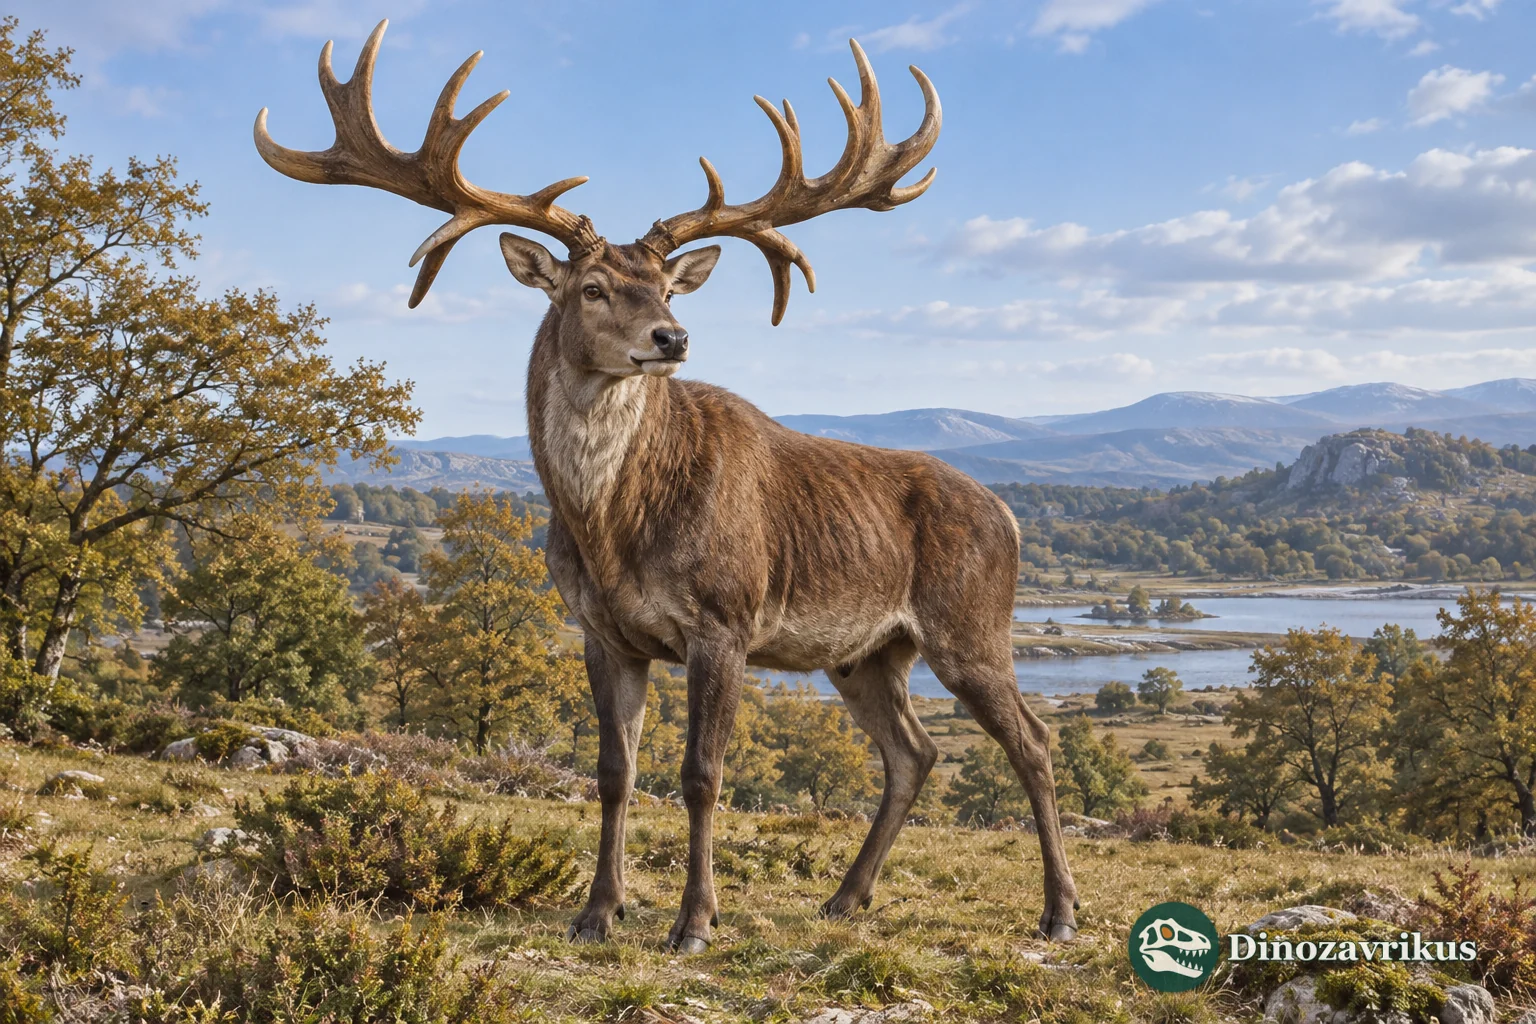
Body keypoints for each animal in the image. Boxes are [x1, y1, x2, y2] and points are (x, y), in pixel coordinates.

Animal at [256, 20, 1080, 952]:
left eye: (666, 286)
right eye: (592, 286)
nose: (672, 337)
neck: (613, 532)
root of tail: (1009, 514)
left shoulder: (726, 619)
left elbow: (700, 774)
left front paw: (693, 922)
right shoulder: (603, 630)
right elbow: (614, 770)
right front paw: (596, 911)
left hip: (968, 623)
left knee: (1034, 744)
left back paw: (1057, 912)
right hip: (867, 651)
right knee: (916, 751)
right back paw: (844, 897)